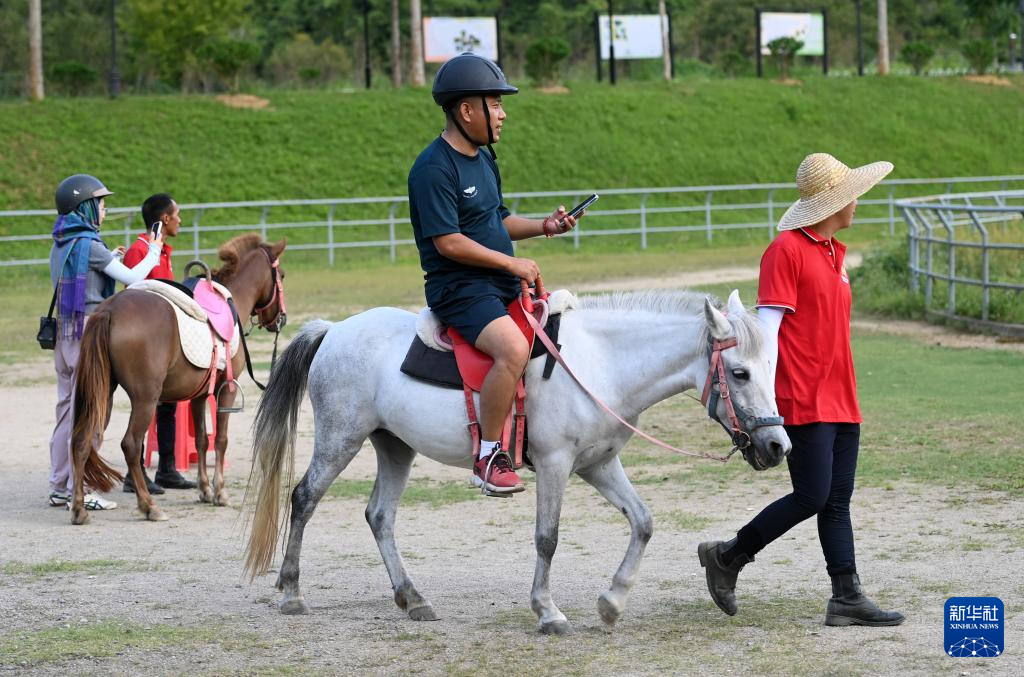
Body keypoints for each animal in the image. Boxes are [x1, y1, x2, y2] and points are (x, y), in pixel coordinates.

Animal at [70, 232, 288, 522]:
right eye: (282, 275)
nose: (281, 319)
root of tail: (110, 310)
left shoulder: (199, 396)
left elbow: (202, 439)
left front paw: (204, 489)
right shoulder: (226, 390)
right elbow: (221, 439)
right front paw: (219, 492)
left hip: (102, 394)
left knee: (82, 440)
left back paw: (79, 508)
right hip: (145, 399)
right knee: (131, 445)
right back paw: (148, 505)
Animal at [243, 288, 786, 635]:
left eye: (770, 366)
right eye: (739, 372)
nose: (778, 446)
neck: (599, 364)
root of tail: (334, 330)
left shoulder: (598, 465)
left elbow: (644, 522)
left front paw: (612, 604)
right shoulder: (555, 464)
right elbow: (548, 538)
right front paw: (548, 612)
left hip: (395, 446)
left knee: (379, 516)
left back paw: (413, 598)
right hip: (341, 439)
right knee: (304, 498)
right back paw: (291, 593)